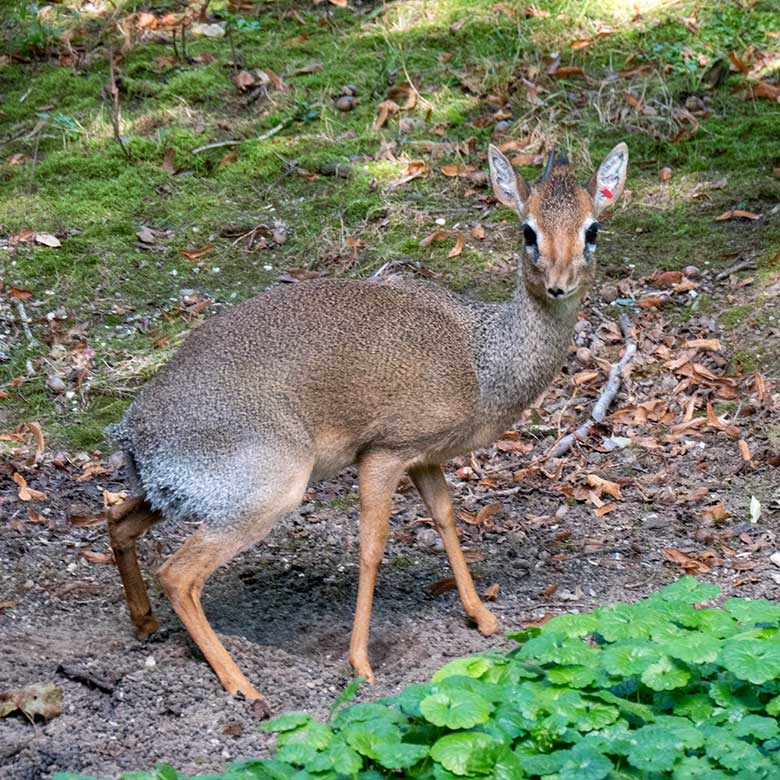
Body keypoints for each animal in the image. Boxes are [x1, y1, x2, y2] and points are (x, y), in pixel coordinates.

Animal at [105, 140, 628, 708]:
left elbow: (445, 518)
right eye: (527, 230)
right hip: (267, 493)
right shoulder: (383, 453)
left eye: (592, 229)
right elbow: (372, 546)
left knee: (117, 519)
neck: (482, 359)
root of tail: (134, 432)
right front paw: (360, 663)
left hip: (179, 495)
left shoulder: (425, 458)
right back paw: (242, 683)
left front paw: (483, 618)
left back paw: (146, 625)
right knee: (178, 574)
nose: (558, 285)